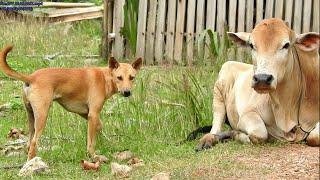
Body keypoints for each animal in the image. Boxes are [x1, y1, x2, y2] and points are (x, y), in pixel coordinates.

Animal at [0, 45, 142, 160]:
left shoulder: (86, 113)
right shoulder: (93, 114)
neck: (104, 77)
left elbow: (99, 126)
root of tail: (31, 77)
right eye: (119, 78)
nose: (127, 92)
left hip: (31, 117)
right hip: (42, 116)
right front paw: (92, 155)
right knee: (34, 141)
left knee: (30, 142)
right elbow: (91, 142)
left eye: (132, 77)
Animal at [196, 18, 318, 150]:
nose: (262, 79)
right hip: (219, 89)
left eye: (286, 45)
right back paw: (209, 139)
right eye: (251, 45)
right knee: (216, 126)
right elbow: (259, 133)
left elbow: (314, 136)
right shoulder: (247, 115)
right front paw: (236, 134)